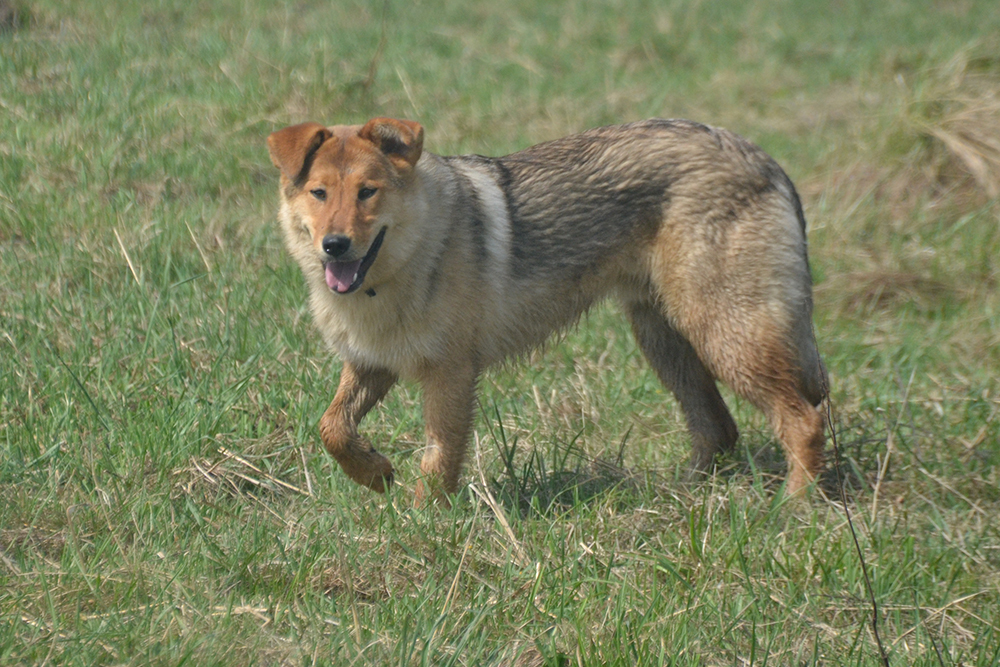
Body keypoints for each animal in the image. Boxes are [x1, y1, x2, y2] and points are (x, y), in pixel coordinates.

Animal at [268, 117, 828, 504]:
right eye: (319, 193)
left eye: (368, 192)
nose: (334, 246)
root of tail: (762, 158)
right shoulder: (371, 364)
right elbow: (332, 429)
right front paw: (377, 474)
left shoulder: (450, 374)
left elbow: (439, 460)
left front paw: (424, 522)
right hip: (666, 341)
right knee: (719, 428)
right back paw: (681, 493)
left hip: (725, 334)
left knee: (803, 420)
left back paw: (790, 508)